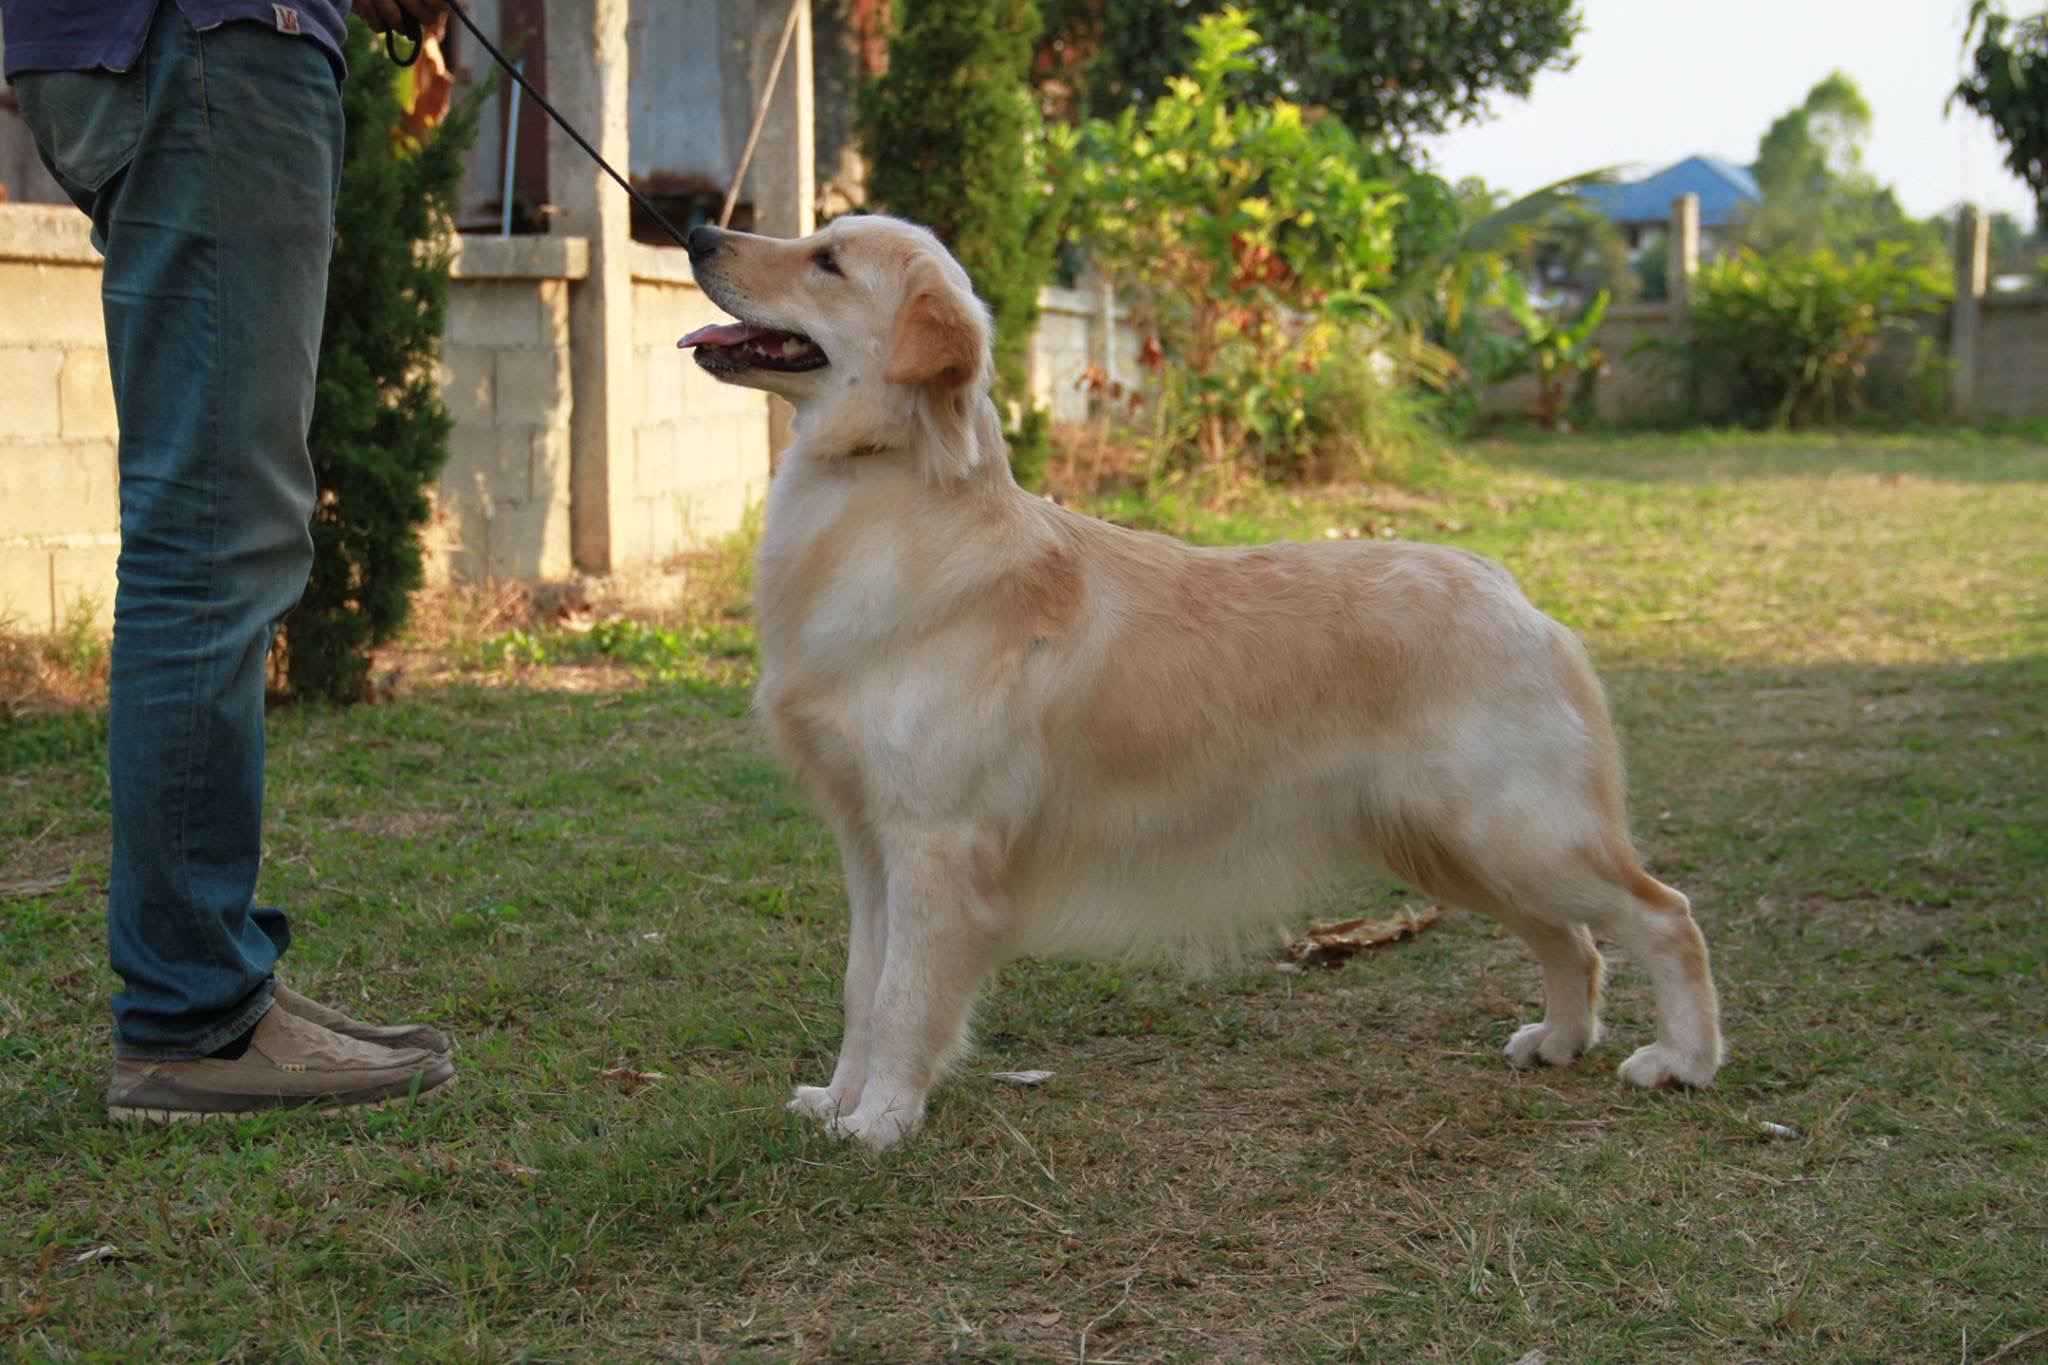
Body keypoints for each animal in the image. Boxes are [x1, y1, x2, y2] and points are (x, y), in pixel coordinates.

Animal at [679, 215, 1723, 1151]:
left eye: (827, 259)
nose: (695, 230)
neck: (887, 494)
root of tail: (1515, 593)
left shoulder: (937, 842)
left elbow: (903, 995)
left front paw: (884, 1119)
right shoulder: (869, 844)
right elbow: (863, 985)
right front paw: (837, 1099)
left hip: (1517, 830)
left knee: (1663, 916)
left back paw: (1682, 1059)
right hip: (1456, 846)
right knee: (1572, 940)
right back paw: (1560, 1039)